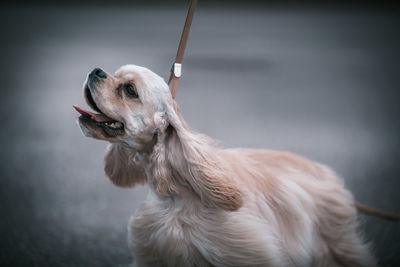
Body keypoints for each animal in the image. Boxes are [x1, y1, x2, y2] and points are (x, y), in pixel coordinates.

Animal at [75, 65, 394, 267]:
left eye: (129, 89)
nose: (96, 70)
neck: (179, 193)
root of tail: (329, 176)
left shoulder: (249, 251)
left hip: (336, 241)